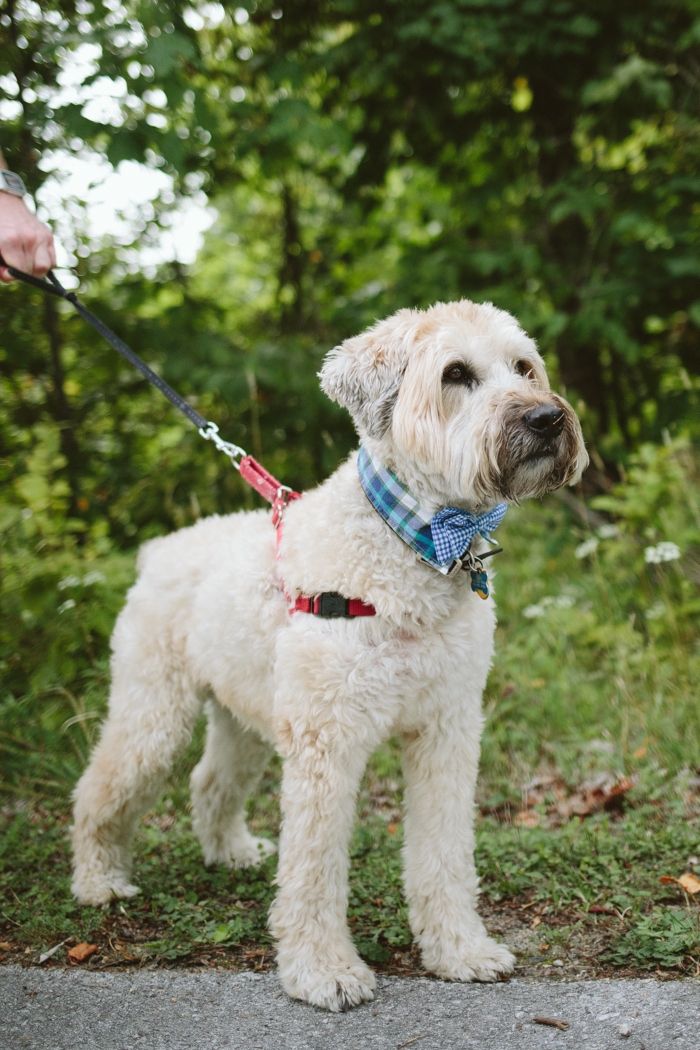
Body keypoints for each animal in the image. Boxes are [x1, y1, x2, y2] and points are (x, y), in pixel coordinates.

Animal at [72, 296, 587, 1007]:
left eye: (524, 367)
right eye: (455, 374)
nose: (545, 418)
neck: (414, 544)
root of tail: (161, 550)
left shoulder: (447, 731)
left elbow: (445, 852)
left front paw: (459, 949)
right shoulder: (327, 743)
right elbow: (315, 869)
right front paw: (324, 971)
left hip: (245, 717)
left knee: (210, 781)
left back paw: (230, 852)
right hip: (154, 714)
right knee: (100, 788)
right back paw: (98, 881)